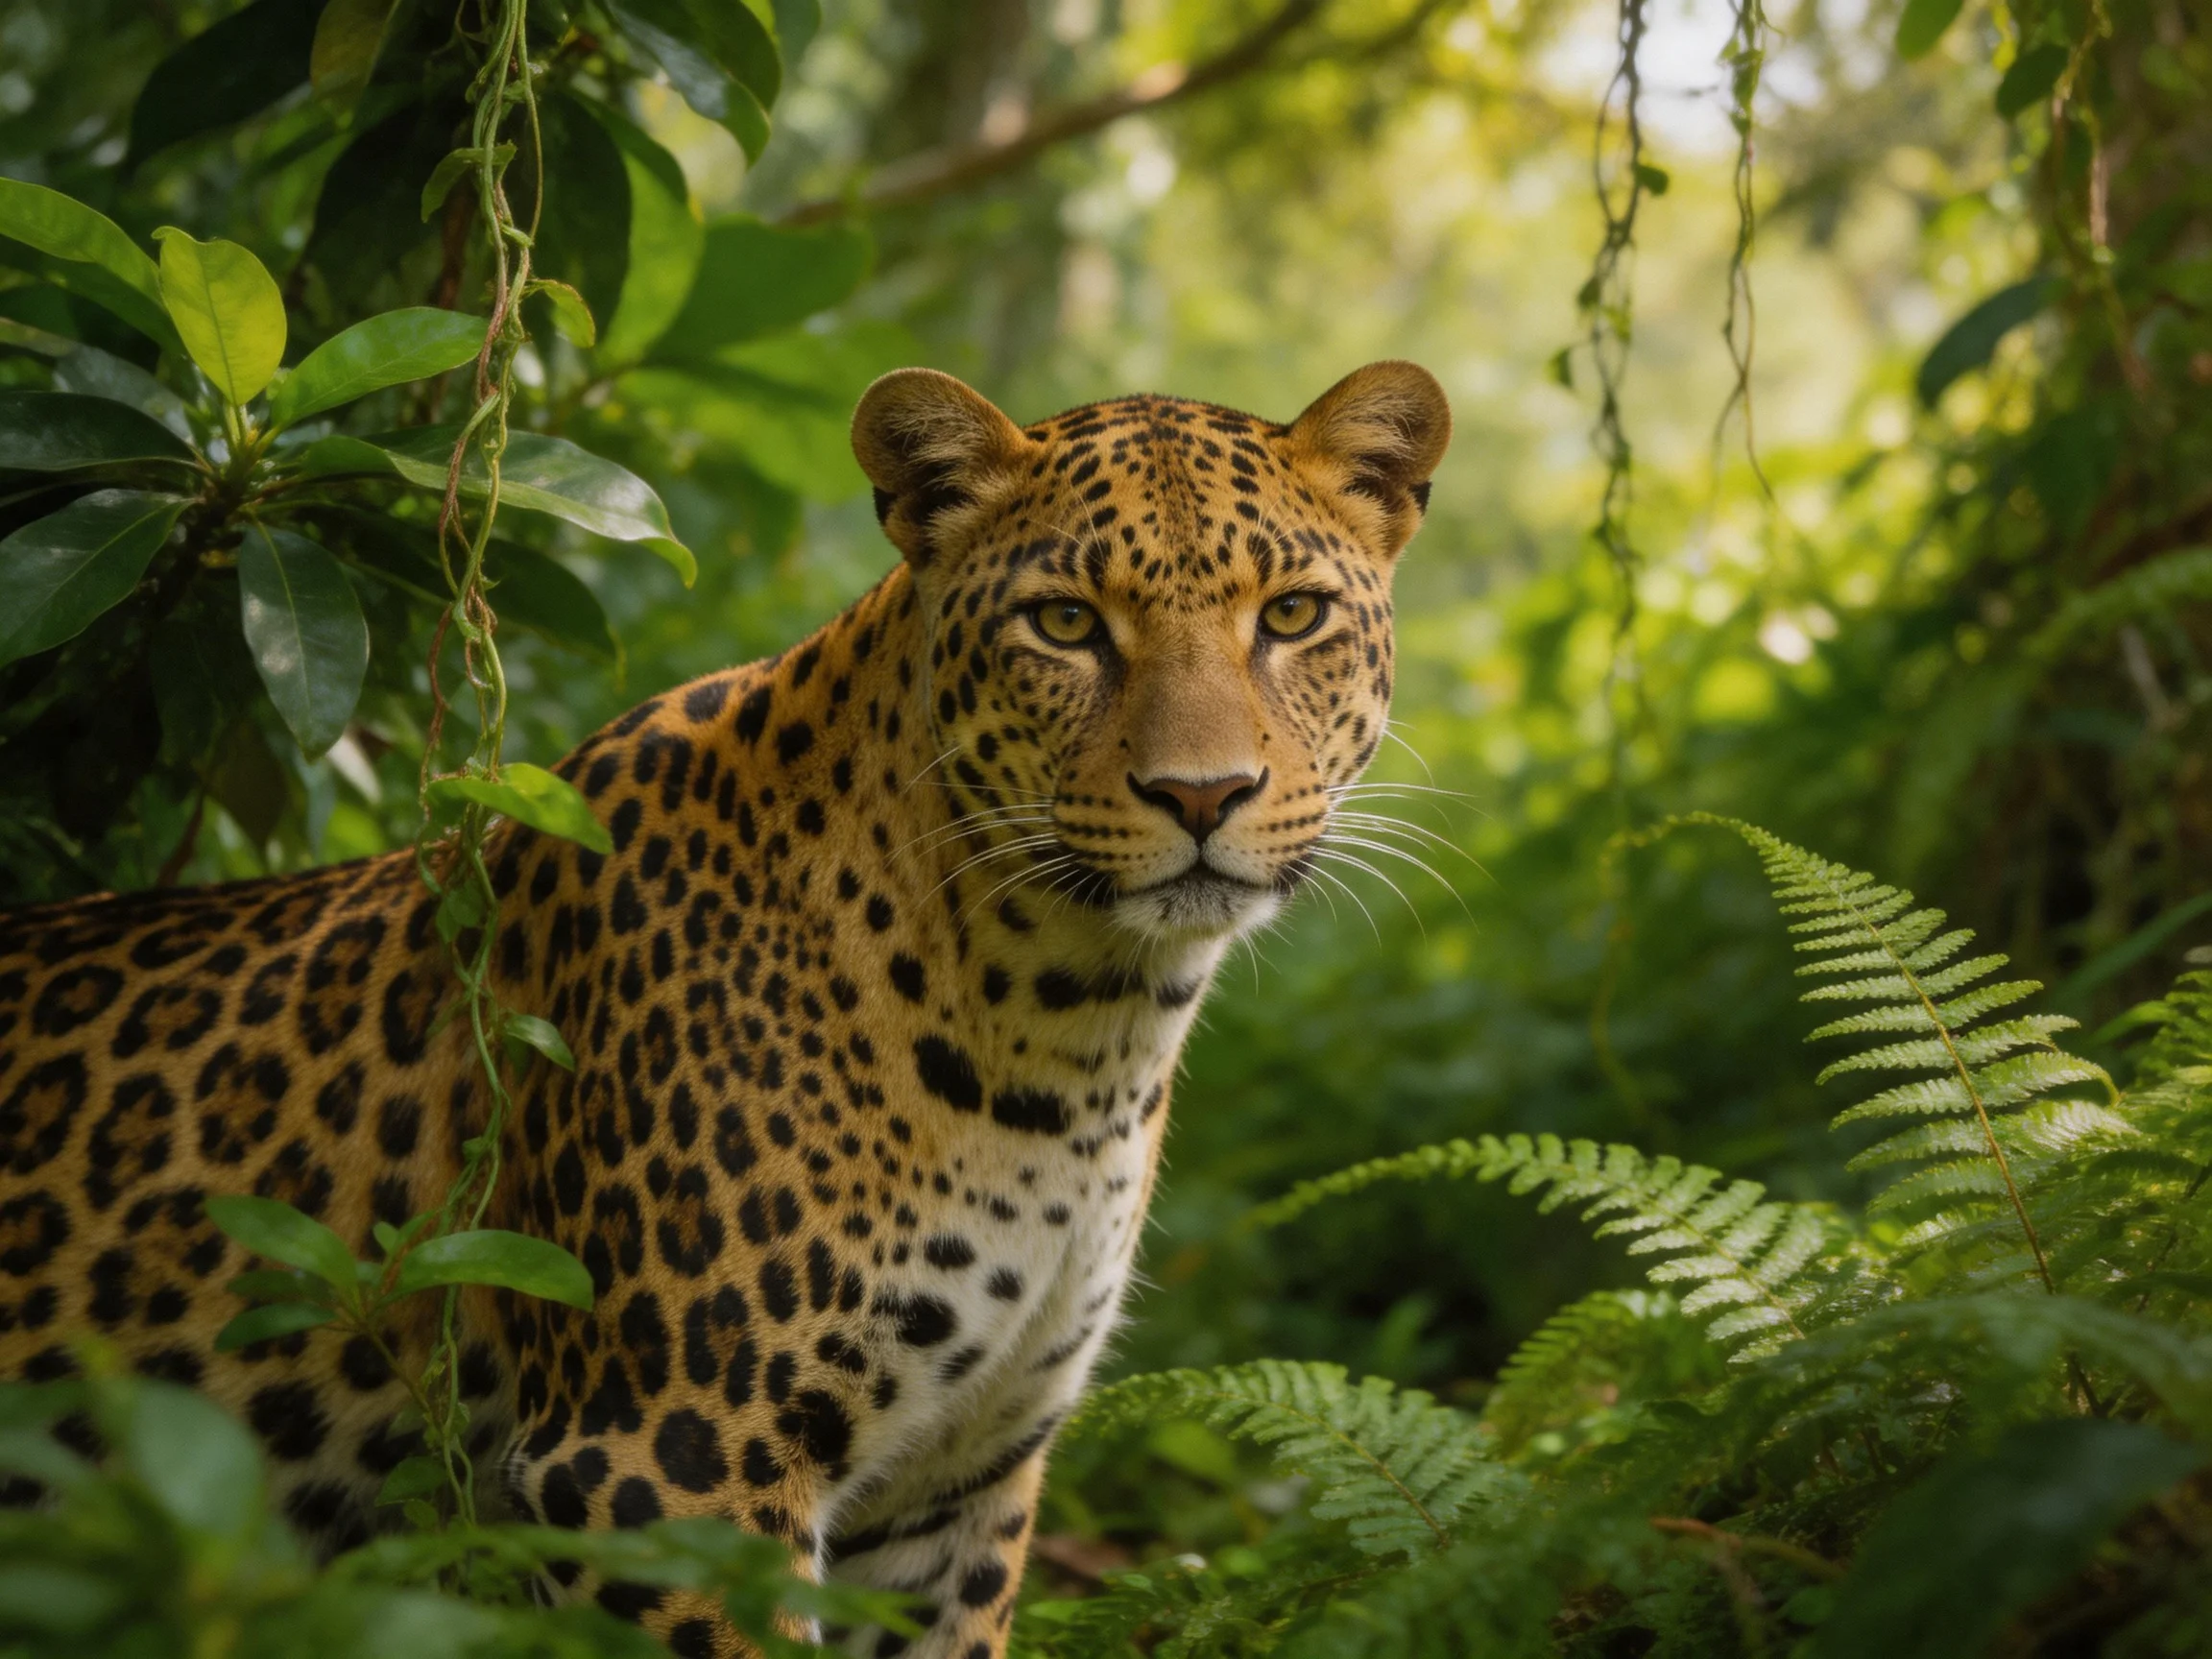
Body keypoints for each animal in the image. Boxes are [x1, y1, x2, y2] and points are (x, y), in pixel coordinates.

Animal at [0, 360, 1451, 1656]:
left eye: (1293, 615)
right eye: (1066, 625)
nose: (1203, 795)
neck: (1071, 1028)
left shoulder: (955, 1493)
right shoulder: (665, 1468)